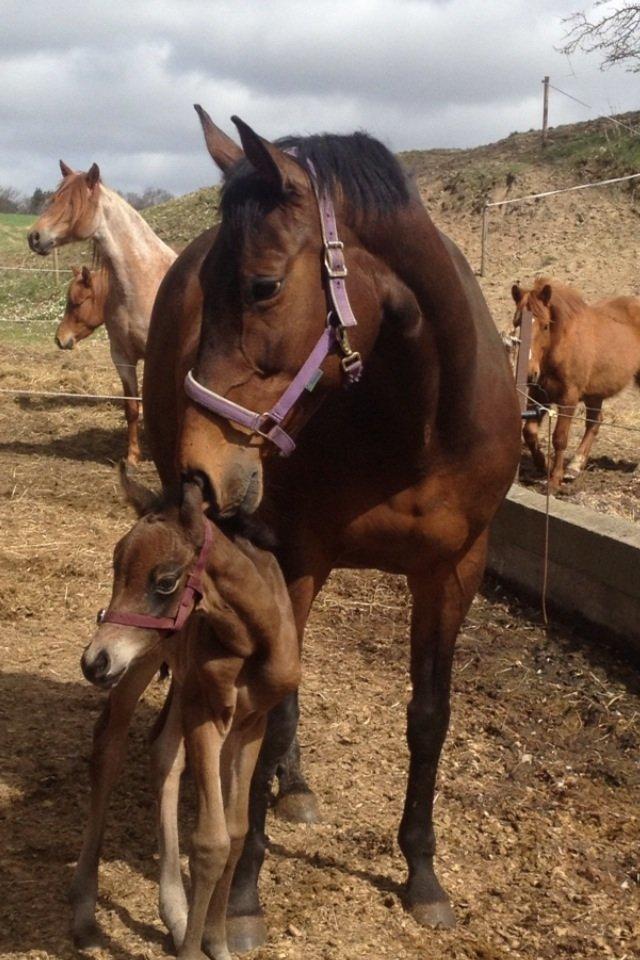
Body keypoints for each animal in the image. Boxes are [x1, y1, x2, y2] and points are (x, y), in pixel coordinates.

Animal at [29, 163, 176, 464]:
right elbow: (132, 409)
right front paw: (132, 456)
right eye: (53, 199)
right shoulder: (122, 357)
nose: (34, 236)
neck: (144, 281)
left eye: (76, 302)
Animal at [75, 468, 300, 956]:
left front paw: (216, 939)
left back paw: (175, 912)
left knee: (162, 753)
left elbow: (235, 833)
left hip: (177, 678)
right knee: (108, 748)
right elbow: (210, 843)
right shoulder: (206, 714)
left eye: (164, 581)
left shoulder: (251, 722)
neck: (251, 639)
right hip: (139, 663)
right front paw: (197, 948)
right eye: (116, 568)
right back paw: (84, 907)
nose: (93, 661)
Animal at [512, 276, 640, 488]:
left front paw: (555, 479)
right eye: (517, 323)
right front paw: (545, 465)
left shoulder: (568, 398)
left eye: (546, 325)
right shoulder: (539, 394)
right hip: (594, 393)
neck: (561, 346)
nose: (530, 373)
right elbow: (529, 431)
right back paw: (574, 467)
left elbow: (559, 437)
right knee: (595, 422)